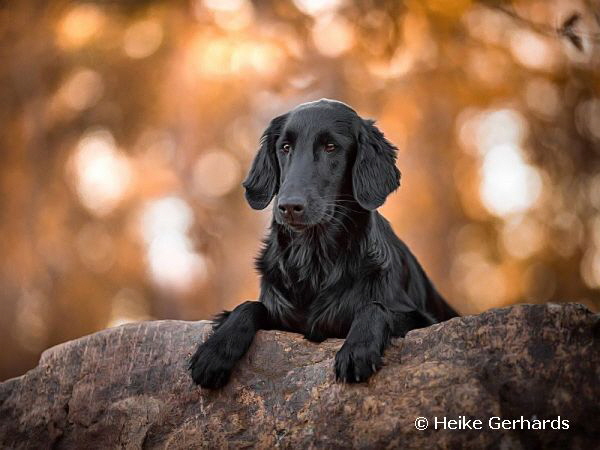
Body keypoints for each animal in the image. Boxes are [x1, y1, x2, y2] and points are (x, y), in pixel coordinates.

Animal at [190, 98, 458, 386]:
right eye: (285, 147)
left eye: (331, 147)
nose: (289, 206)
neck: (314, 258)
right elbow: (249, 306)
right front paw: (214, 351)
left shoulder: (420, 316)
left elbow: (375, 306)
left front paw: (357, 349)